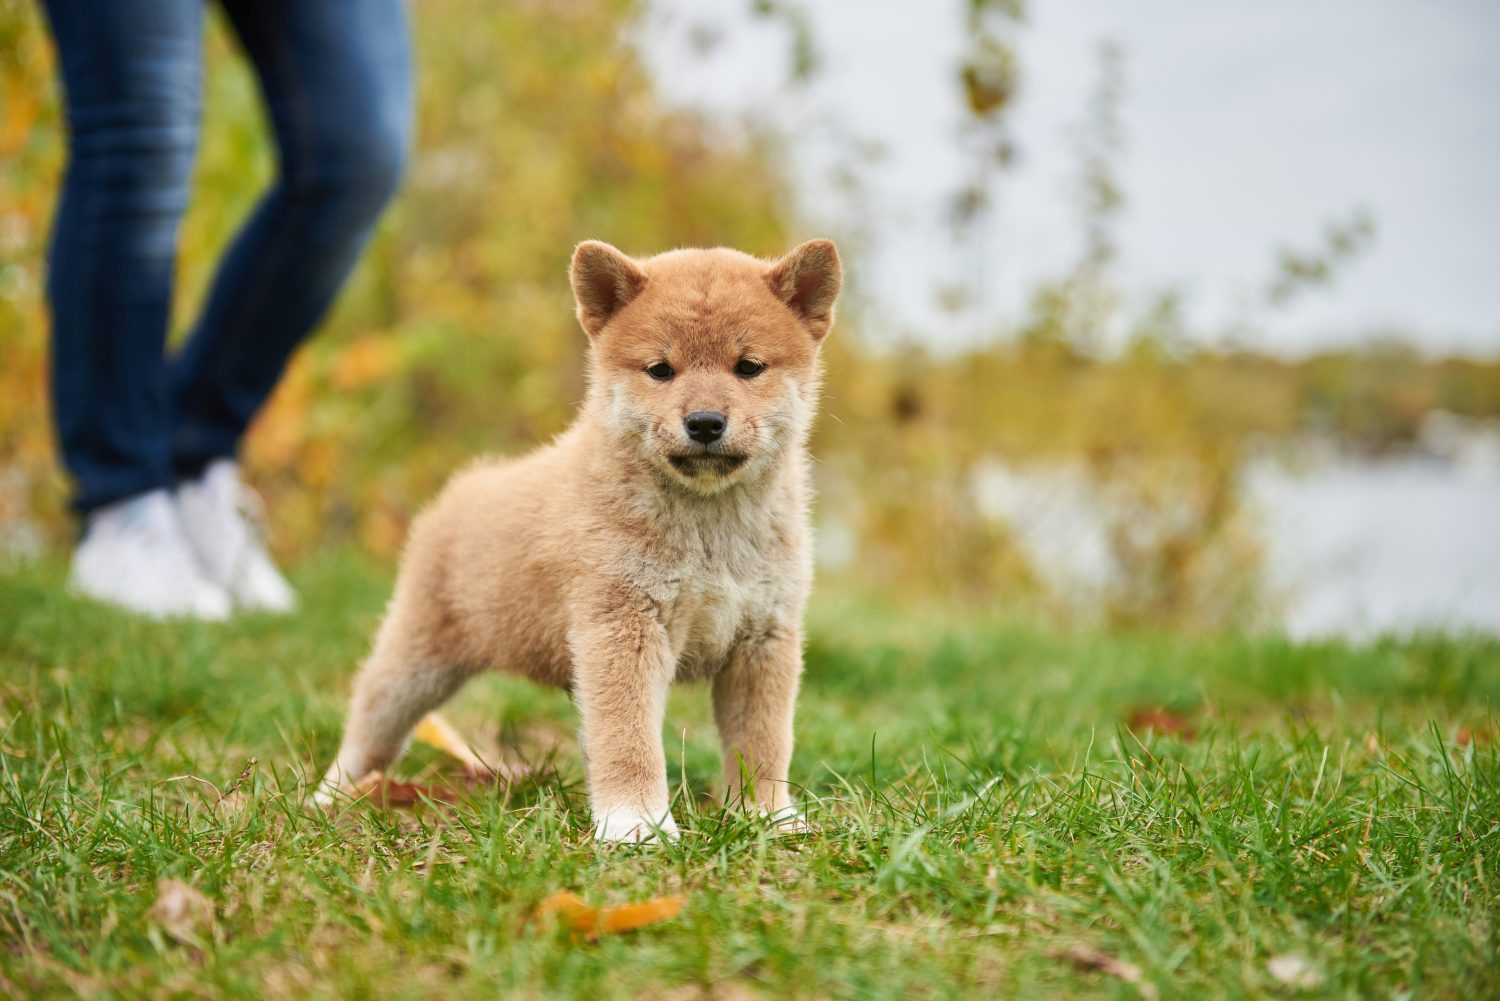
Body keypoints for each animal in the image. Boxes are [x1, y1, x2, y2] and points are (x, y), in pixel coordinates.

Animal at [313, 238, 846, 840]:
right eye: (661, 370)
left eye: (749, 367)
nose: (706, 422)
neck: (709, 527)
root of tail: (463, 488)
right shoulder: (623, 624)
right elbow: (630, 739)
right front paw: (636, 824)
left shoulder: (763, 636)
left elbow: (762, 741)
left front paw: (766, 815)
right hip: (417, 663)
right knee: (369, 723)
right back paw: (331, 796)